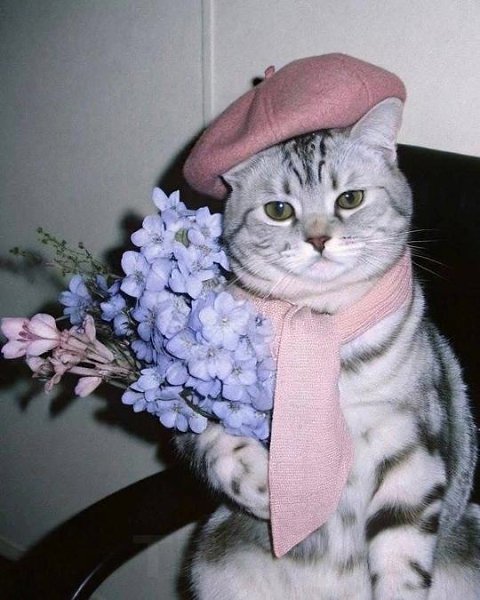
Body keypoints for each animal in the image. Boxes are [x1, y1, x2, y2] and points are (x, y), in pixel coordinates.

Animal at [175, 98, 480, 599]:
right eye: (278, 209)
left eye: (349, 199)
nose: (317, 239)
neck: (321, 327)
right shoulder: (192, 398)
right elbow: (213, 440)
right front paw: (267, 485)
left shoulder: (411, 452)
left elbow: (401, 563)